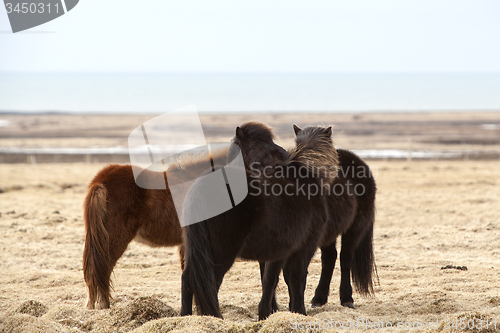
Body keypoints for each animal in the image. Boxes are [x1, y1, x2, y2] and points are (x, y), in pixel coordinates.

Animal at [180, 124, 336, 320]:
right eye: (253, 146)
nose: (282, 156)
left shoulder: (279, 251)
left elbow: (270, 279)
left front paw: (266, 313)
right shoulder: (305, 247)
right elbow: (297, 278)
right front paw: (299, 312)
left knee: (187, 279)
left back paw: (185, 317)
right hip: (220, 253)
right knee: (209, 283)